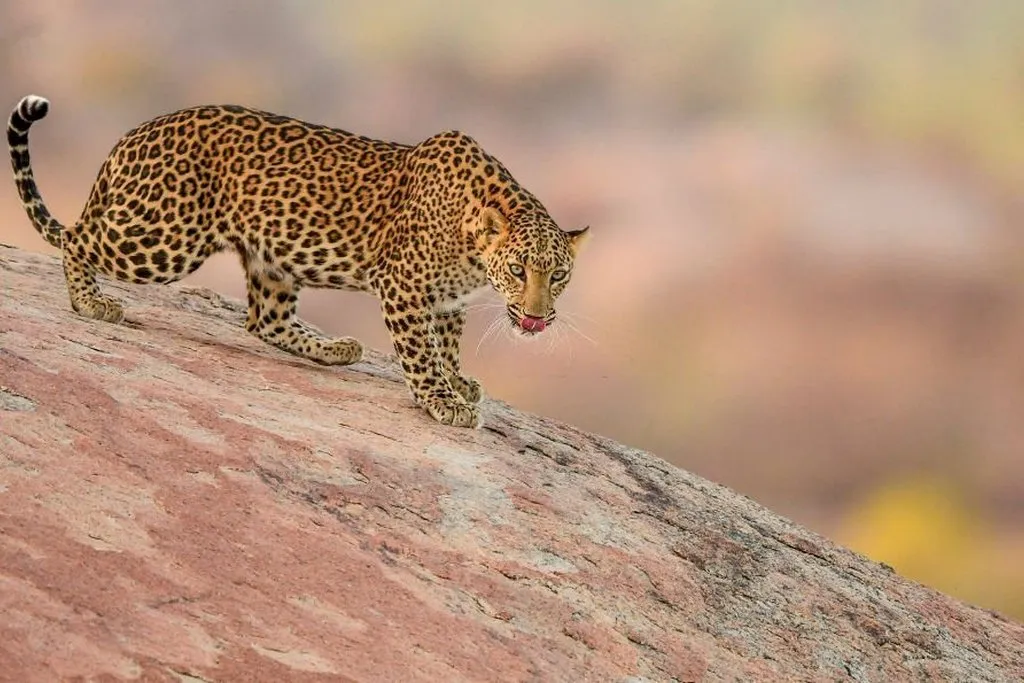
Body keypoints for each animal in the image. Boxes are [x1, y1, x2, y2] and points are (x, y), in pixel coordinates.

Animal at [7, 94, 588, 428]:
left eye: (557, 274)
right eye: (518, 270)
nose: (536, 317)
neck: (473, 242)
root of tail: (131, 135)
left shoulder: (447, 301)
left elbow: (445, 344)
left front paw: (458, 381)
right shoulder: (404, 287)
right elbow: (421, 353)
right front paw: (442, 401)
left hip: (271, 260)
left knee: (263, 321)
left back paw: (336, 349)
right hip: (162, 236)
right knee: (77, 239)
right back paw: (90, 302)